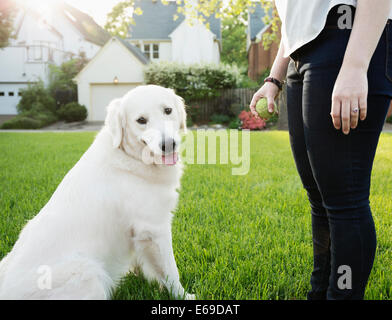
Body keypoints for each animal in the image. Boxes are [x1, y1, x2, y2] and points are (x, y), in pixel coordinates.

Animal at [0, 85, 195, 300]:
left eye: (168, 110)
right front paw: (183, 295)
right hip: (89, 272)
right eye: (141, 120)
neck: (129, 157)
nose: (168, 144)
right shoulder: (155, 228)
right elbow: (170, 270)